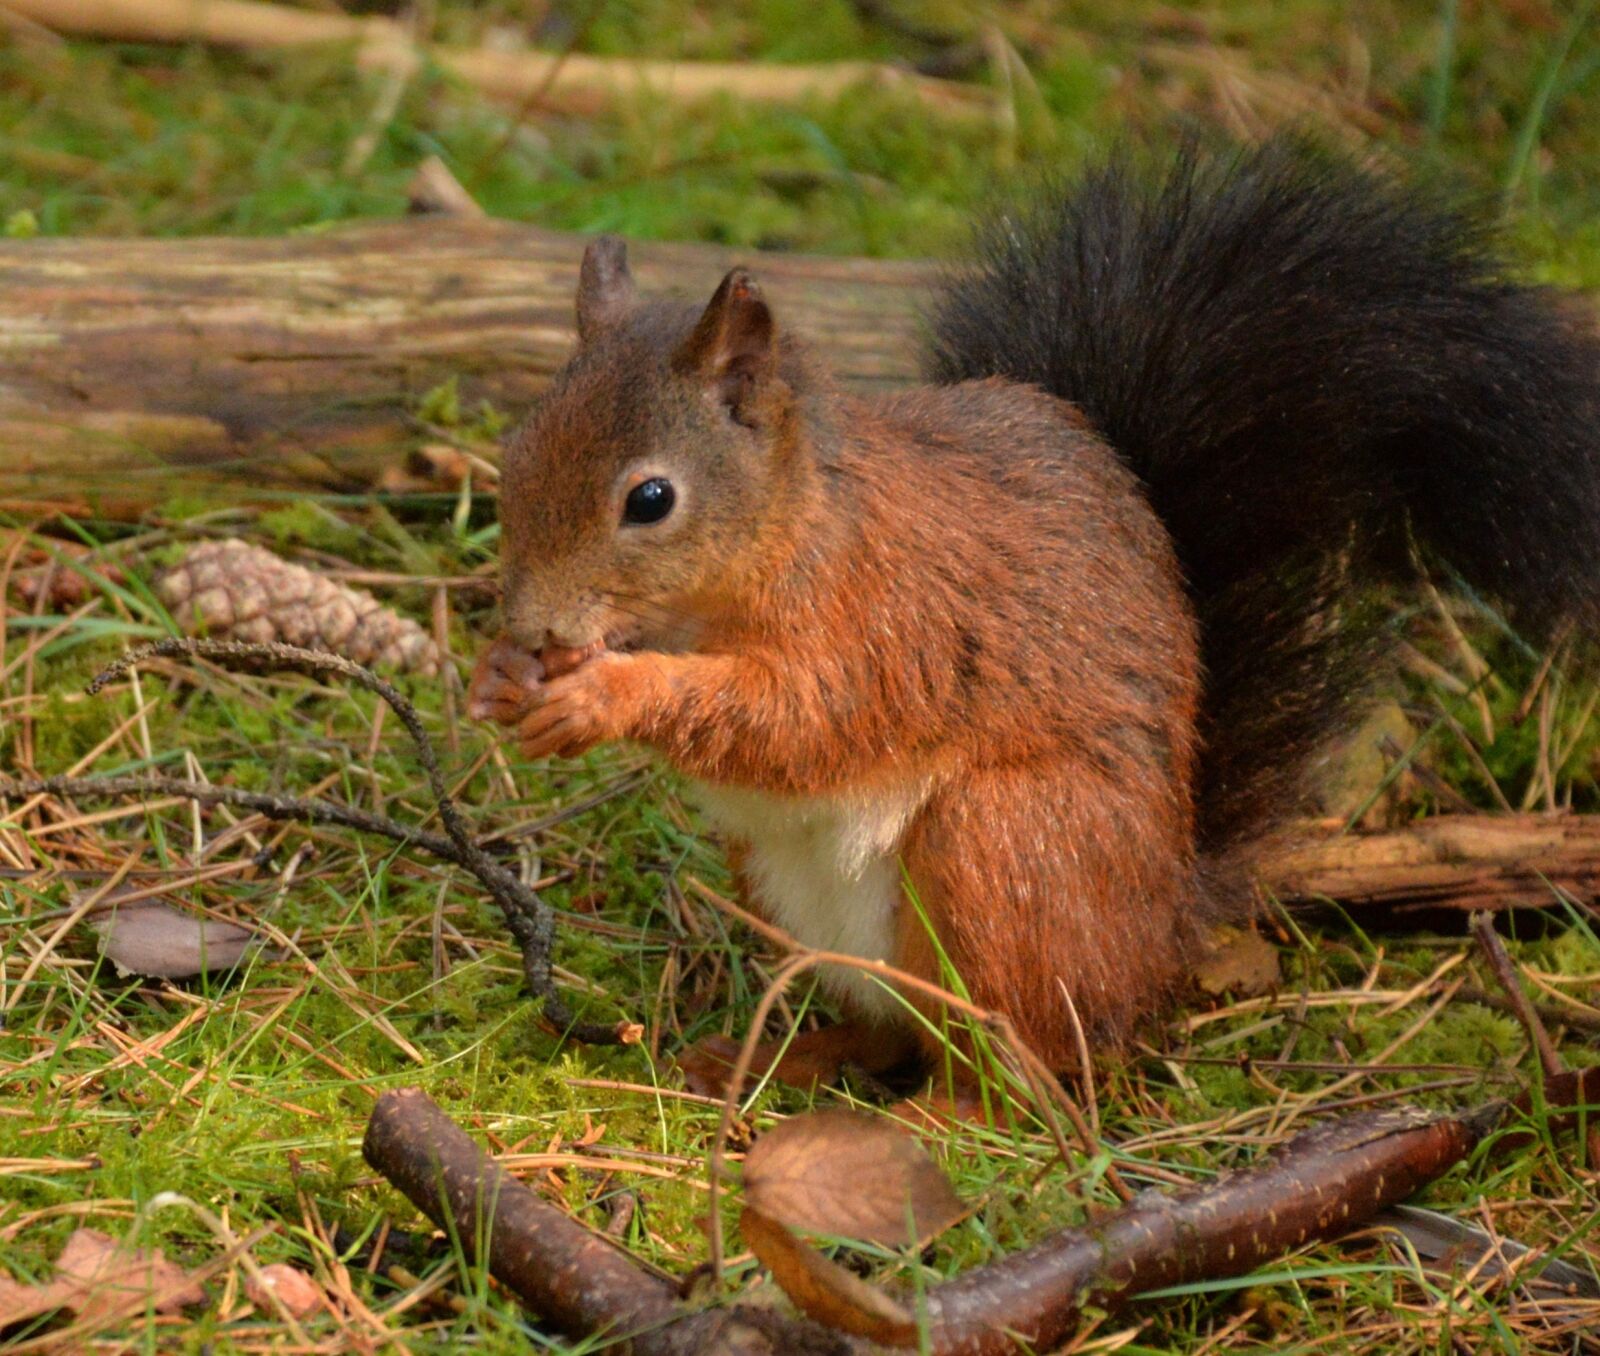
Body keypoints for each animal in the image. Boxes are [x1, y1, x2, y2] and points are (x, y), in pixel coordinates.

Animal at [468, 137, 1600, 1095]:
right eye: (515, 453)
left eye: (650, 500)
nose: (531, 626)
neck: (783, 534)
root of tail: (1162, 932)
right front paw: (497, 677)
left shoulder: (888, 624)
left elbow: (799, 717)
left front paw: (608, 694)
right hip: (785, 889)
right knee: (890, 1031)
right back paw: (774, 1057)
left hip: (1005, 850)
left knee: (1021, 1070)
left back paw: (935, 1118)